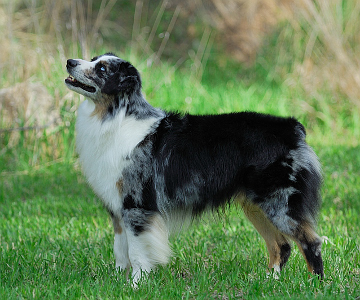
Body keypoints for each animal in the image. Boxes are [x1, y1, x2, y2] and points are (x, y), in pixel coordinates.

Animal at [64, 51, 324, 284]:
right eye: (93, 59)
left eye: (102, 69)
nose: (69, 62)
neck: (114, 117)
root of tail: (293, 127)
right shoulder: (118, 209)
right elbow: (120, 250)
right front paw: (118, 282)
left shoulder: (136, 206)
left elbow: (137, 253)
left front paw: (136, 284)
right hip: (256, 205)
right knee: (281, 245)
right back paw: (269, 281)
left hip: (280, 203)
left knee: (310, 241)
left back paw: (315, 285)